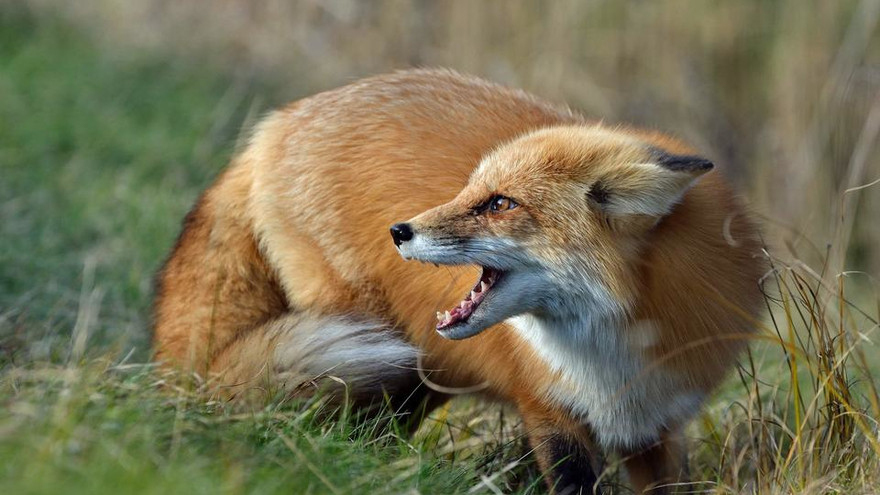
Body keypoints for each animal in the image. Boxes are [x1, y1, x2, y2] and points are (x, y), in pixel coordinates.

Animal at [153, 69, 766, 494]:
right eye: (469, 191)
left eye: (499, 203)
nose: (398, 230)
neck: (612, 351)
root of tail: (276, 124)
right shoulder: (549, 407)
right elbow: (570, 478)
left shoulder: (657, 423)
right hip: (374, 341)